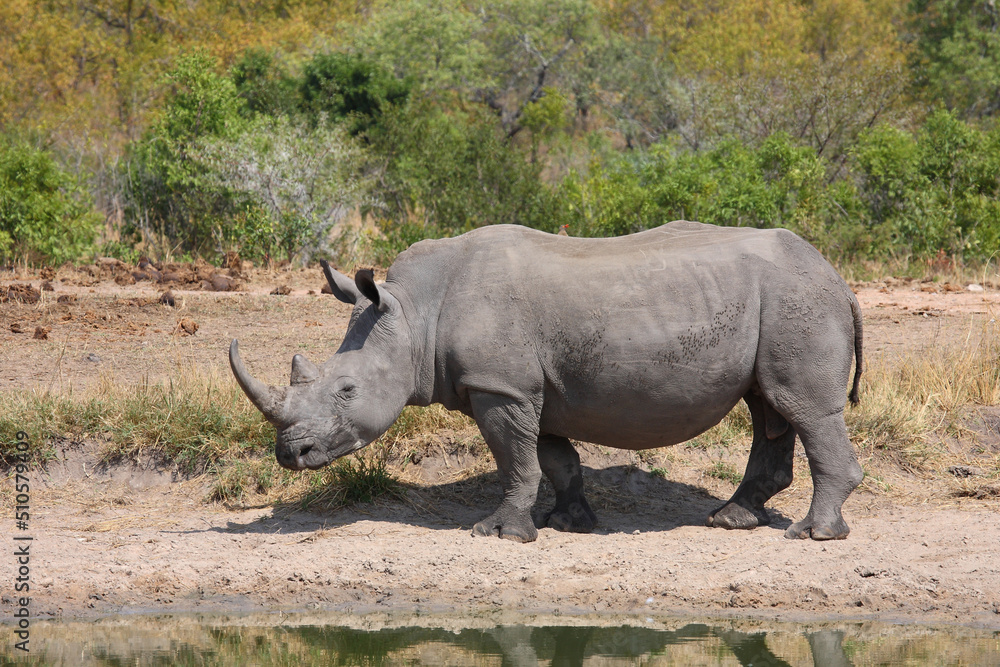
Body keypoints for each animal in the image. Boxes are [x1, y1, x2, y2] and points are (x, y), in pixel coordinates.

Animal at [230, 221, 864, 542]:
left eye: (346, 391)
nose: (290, 454)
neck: (414, 313)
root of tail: (837, 275)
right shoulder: (530, 388)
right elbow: (552, 458)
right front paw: (569, 523)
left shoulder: (498, 387)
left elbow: (514, 459)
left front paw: (500, 534)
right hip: (781, 302)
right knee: (768, 406)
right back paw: (733, 519)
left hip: (797, 300)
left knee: (800, 407)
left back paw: (812, 534)